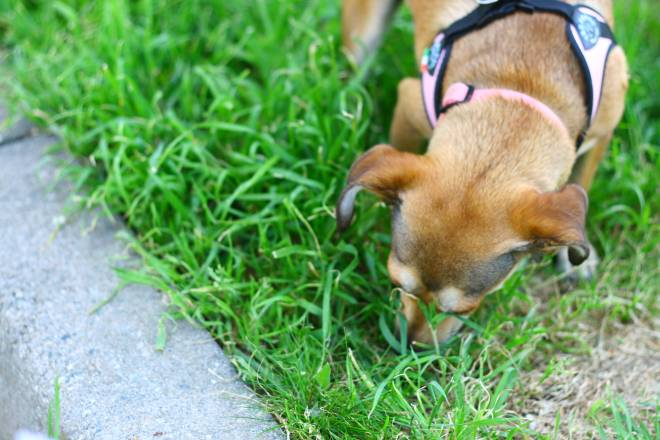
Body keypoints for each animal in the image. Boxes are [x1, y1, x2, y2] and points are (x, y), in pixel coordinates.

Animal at [336, 0, 628, 344]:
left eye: (464, 309)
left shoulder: (603, 130)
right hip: (364, 31)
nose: (410, 346)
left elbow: (581, 179)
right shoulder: (410, 105)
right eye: (396, 283)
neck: (523, 85)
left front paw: (572, 261)